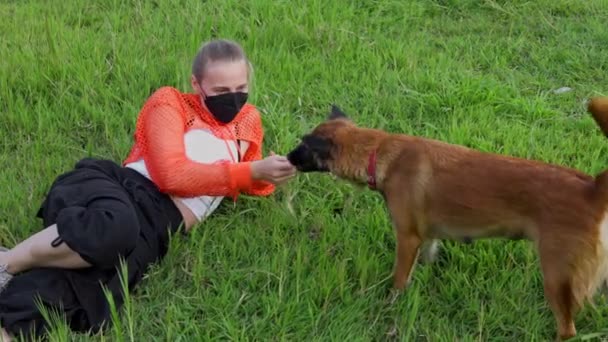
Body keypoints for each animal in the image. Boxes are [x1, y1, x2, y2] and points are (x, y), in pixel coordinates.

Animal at [288, 97, 608, 340]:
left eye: (303, 146)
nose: (288, 157)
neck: (380, 152)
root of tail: (592, 188)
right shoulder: (427, 236)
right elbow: (427, 258)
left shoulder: (407, 238)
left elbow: (399, 279)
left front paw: (391, 304)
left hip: (556, 275)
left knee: (567, 329)